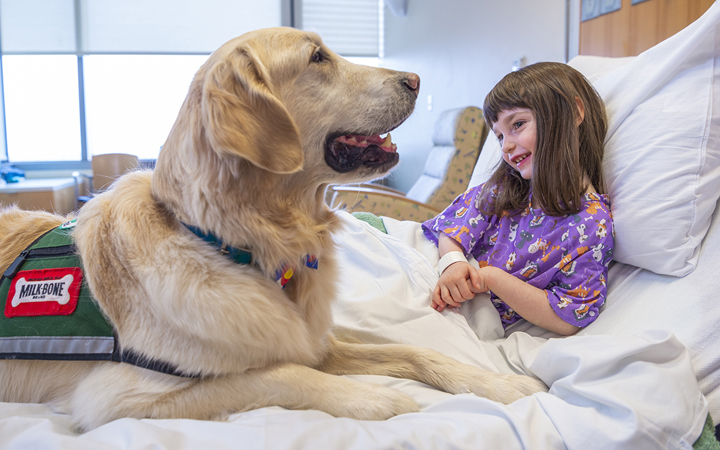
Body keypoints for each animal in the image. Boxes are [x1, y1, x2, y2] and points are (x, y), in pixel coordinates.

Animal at [0, 27, 544, 428]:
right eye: (317, 57)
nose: (414, 78)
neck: (237, 243)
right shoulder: (118, 397)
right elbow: (280, 375)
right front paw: (377, 400)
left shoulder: (311, 336)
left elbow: (409, 348)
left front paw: (501, 384)